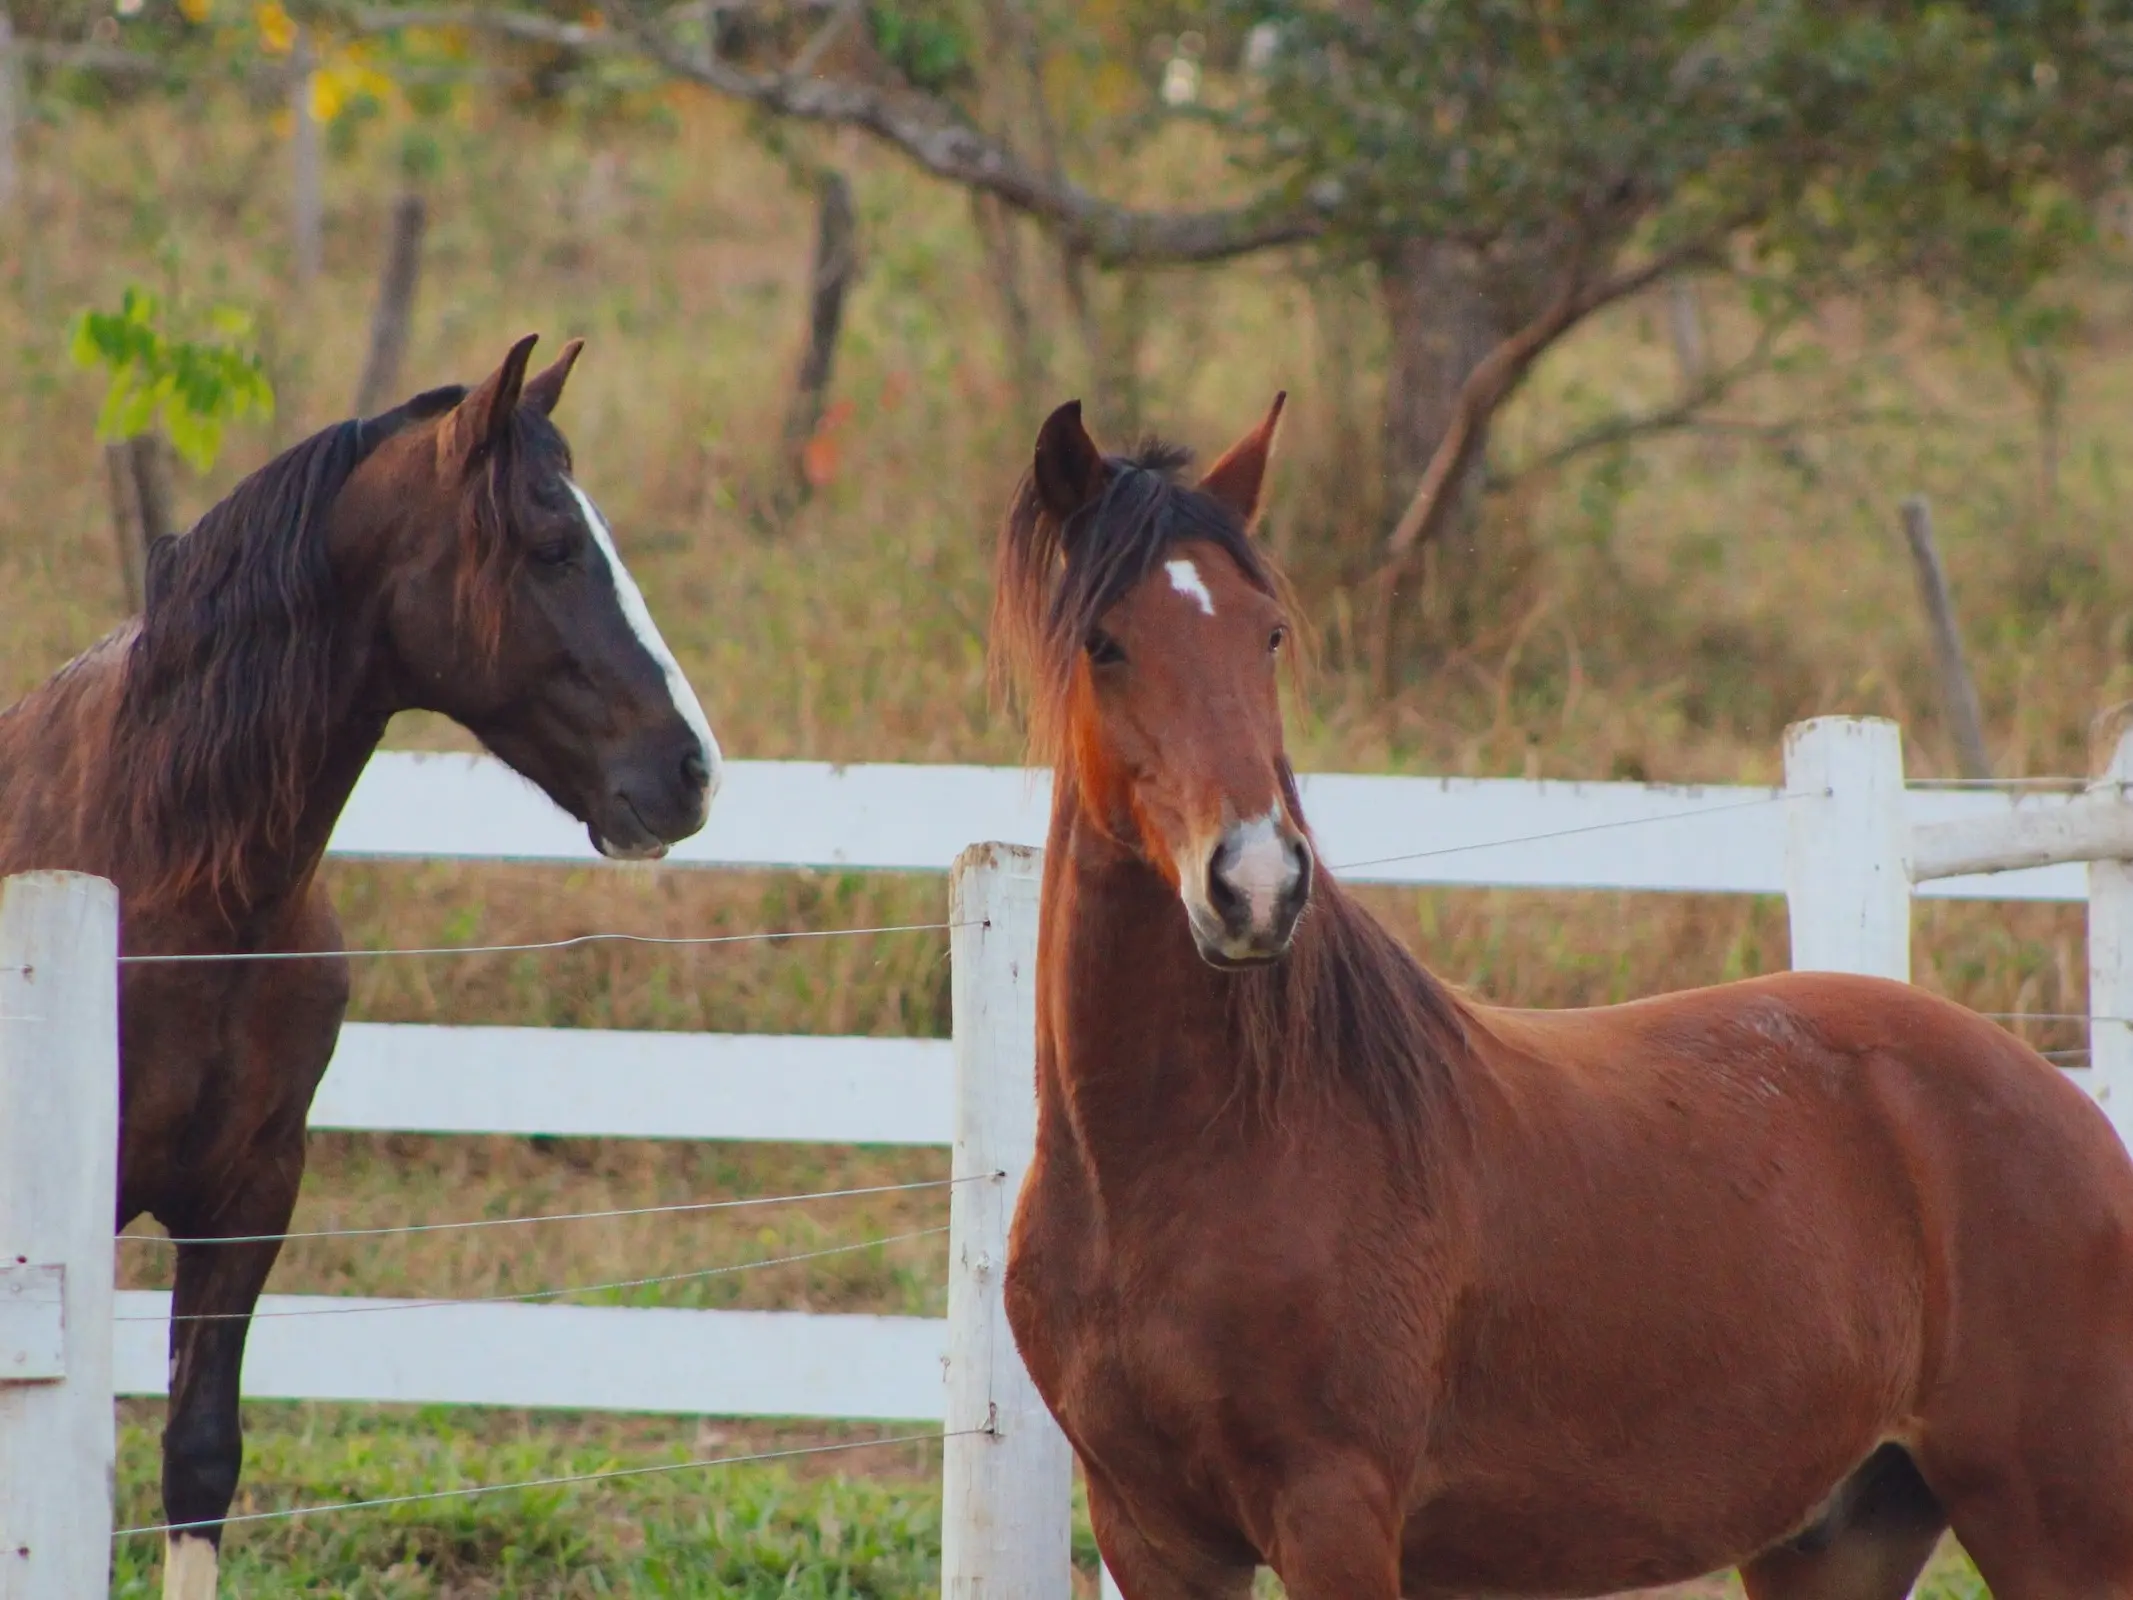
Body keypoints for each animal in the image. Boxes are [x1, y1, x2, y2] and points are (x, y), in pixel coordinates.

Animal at [993, 395, 2133, 1600]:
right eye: (1103, 641)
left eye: (1267, 633)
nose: (1255, 884)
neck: (1202, 1154)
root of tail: (2070, 1110)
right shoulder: (1154, 1535)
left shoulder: (1333, 1513)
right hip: (1842, 1533)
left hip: (2055, 1526)